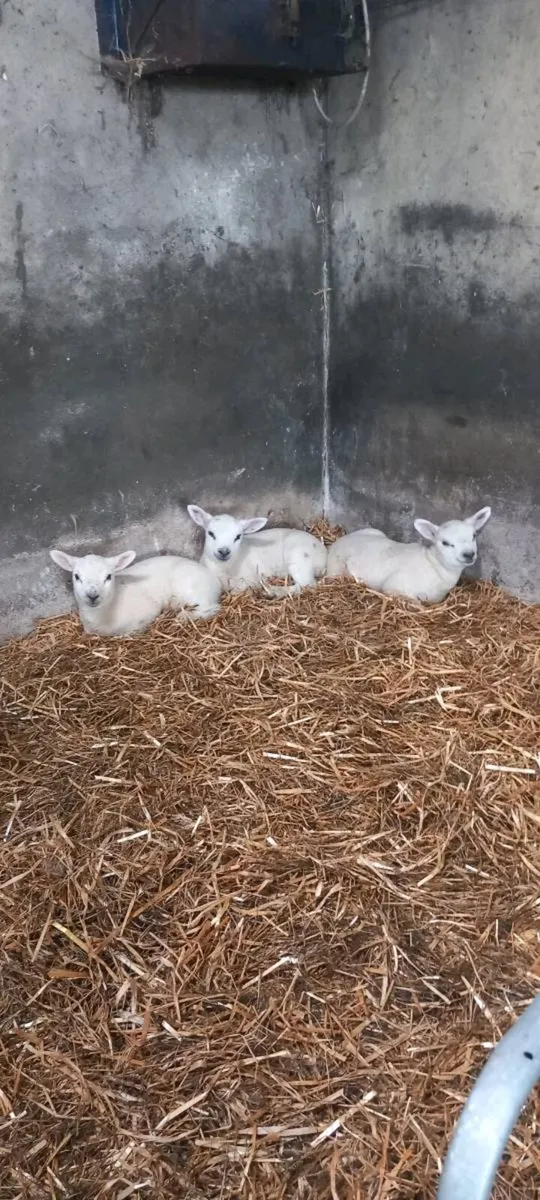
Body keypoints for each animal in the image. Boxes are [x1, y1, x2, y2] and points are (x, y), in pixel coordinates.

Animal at [49, 549, 222, 636]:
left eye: (108, 576)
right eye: (77, 576)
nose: (92, 596)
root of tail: (214, 580)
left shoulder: (149, 610)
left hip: (194, 591)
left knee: (211, 608)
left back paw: (184, 617)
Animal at [187, 505, 327, 597]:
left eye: (238, 536)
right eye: (210, 533)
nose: (224, 551)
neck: (225, 568)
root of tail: (324, 553)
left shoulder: (250, 578)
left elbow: (240, 589)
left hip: (299, 557)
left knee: (307, 584)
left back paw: (274, 591)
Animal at [326, 507, 492, 603]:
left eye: (474, 535)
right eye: (445, 542)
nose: (469, 554)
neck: (434, 566)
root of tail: (339, 541)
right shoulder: (394, 587)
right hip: (337, 569)